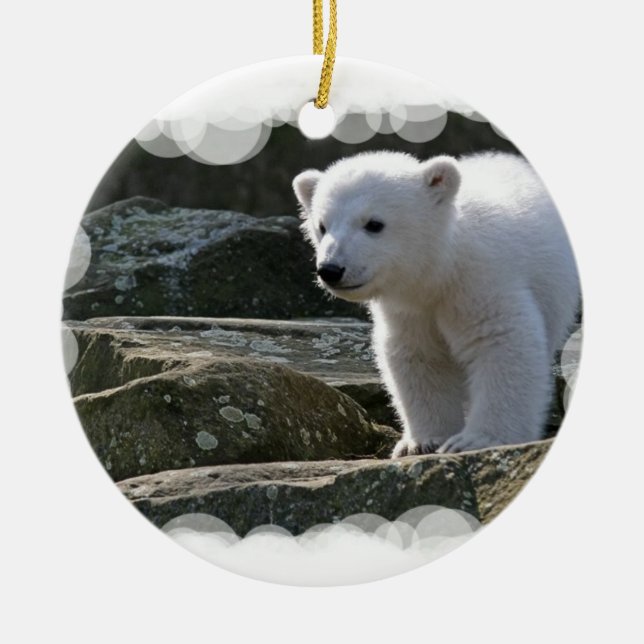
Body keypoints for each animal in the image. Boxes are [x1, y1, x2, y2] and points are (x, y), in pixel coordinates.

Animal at [293, 151, 580, 456]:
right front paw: (421, 443)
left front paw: (476, 439)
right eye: (322, 226)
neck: (440, 268)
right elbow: (417, 355)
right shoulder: (408, 309)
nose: (331, 269)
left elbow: (501, 342)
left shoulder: (482, 280)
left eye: (373, 224)